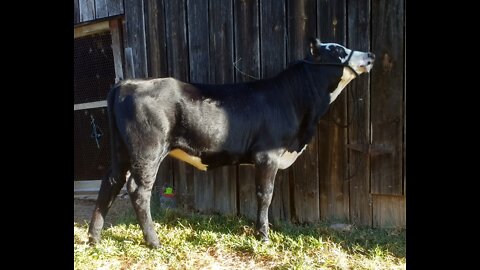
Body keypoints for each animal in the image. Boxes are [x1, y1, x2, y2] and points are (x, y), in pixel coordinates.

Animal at [90, 37, 376, 247]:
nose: (371, 56)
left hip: (121, 151)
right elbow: (265, 195)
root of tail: (127, 83)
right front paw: (263, 235)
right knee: (138, 190)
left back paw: (94, 238)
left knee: (110, 183)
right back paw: (153, 242)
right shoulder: (267, 155)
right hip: (147, 149)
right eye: (337, 50)